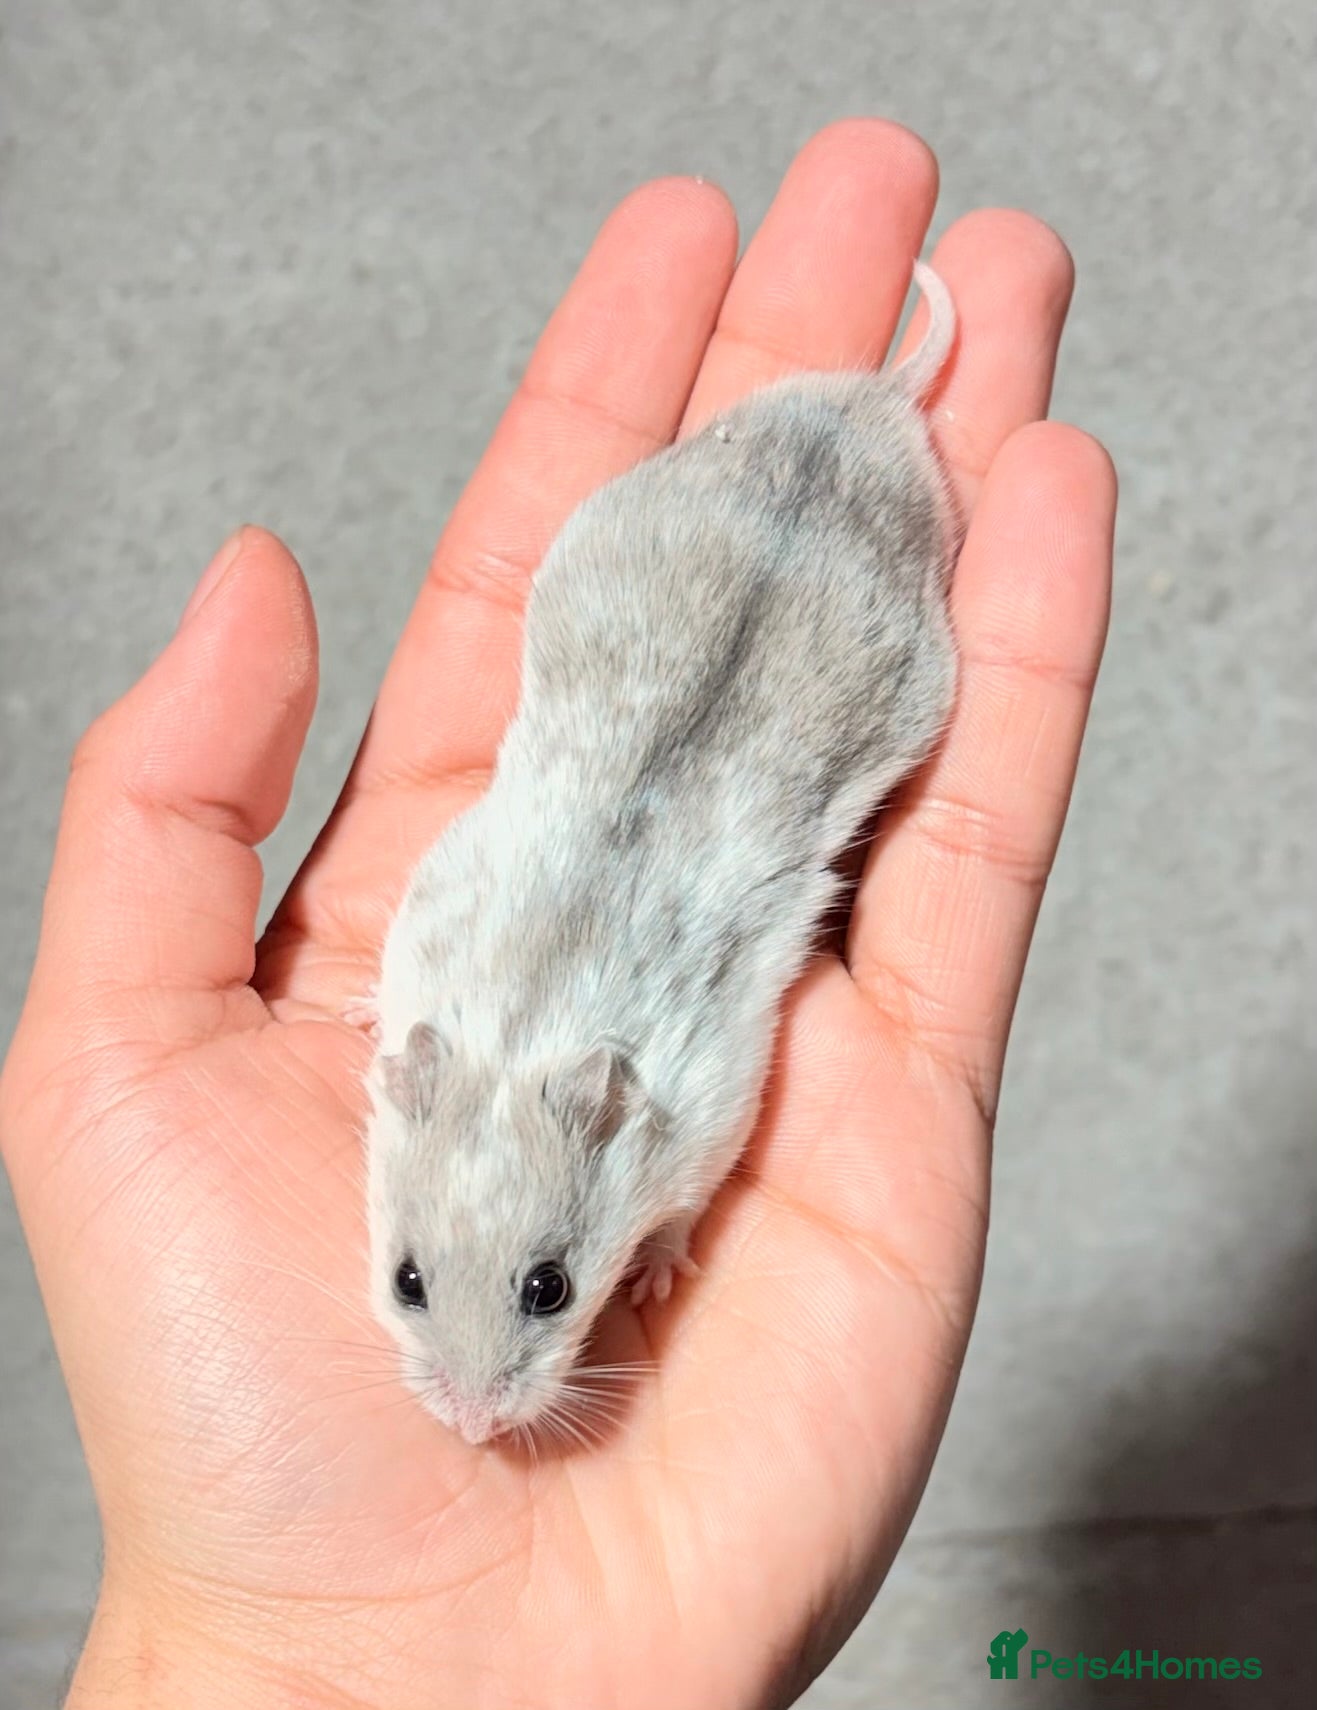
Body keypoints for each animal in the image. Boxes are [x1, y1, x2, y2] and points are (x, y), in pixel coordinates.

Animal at [365, 262, 959, 1446]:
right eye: (407, 1280)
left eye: (549, 1288)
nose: (470, 1430)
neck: (524, 1028)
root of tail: (876, 396)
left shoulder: (712, 1119)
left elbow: (680, 1214)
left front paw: (654, 1275)